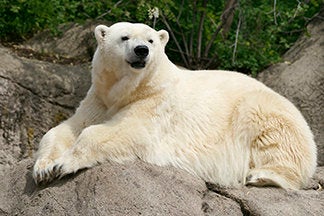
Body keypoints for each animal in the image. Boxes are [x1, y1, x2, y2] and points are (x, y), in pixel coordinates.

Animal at [33, 22, 316, 189]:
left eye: (151, 40)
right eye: (124, 37)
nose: (141, 51)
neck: (131, 89)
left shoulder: (156, 102)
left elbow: (127, 131)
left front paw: (62, 165)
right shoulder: (99, 99)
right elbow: (66, 129)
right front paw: (43, 168)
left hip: (264, 110)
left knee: (277, 139)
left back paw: (261, 176)